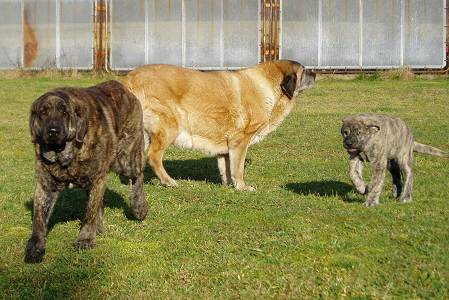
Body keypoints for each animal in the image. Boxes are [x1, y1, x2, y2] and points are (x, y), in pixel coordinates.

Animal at [25, 79, 148, 262]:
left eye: (65, 112)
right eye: (43, 112)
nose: (53, 131)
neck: (66, 157)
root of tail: (121, 86)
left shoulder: (97, 179)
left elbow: (89, 213)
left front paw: (85, 239)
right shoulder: (45, 186)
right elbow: (39, 219)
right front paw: (36, 246)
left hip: (126, 161)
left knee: (138, 176)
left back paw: (139, 206)